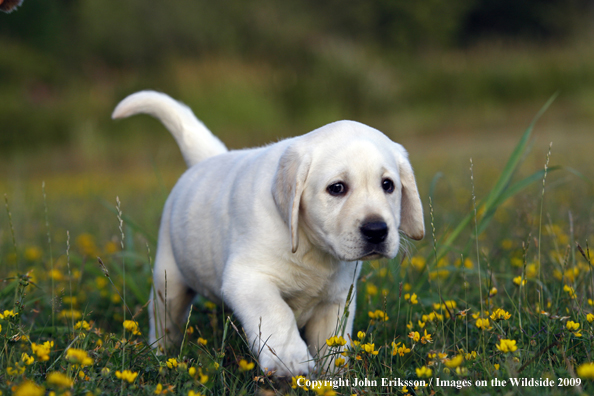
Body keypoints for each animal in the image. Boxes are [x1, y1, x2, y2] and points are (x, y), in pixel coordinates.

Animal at [112, 90, 420, 378]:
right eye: (337, 188)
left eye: (388, 185)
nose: (377, 230)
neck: (310, 246)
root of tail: (211, 158)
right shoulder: (248, 279)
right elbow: (276, 313)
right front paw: (290, 359)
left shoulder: (337, 298)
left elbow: (334, 342)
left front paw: (334, 377)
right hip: (169, 281)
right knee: (164, 321)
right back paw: (161, 356)